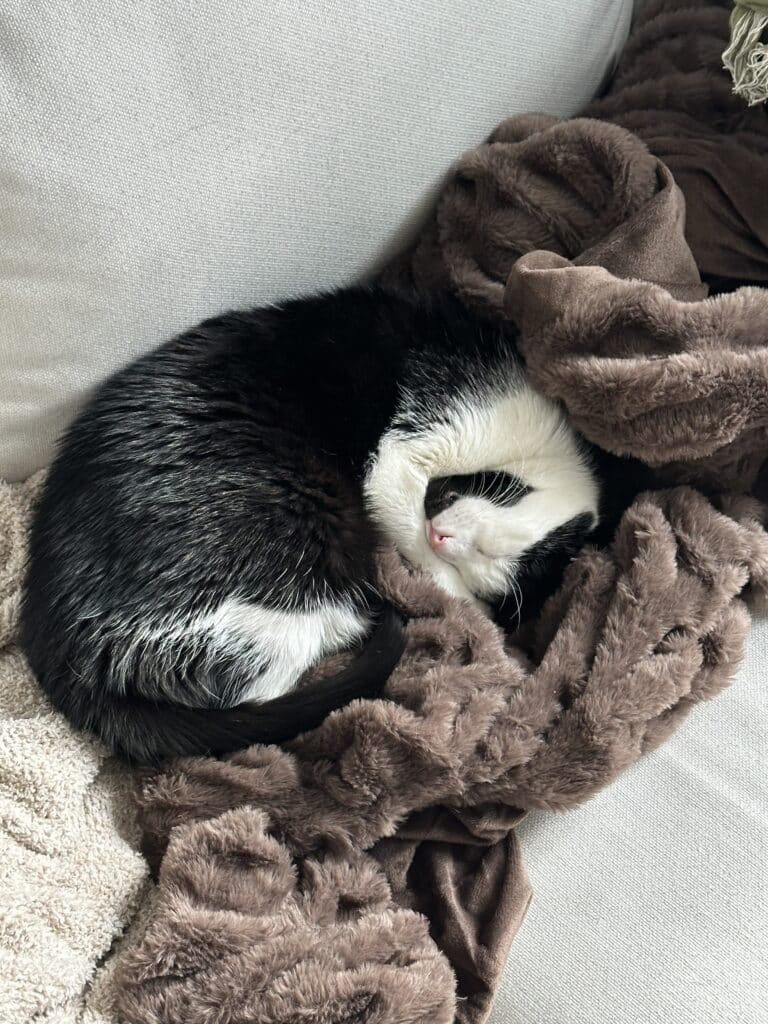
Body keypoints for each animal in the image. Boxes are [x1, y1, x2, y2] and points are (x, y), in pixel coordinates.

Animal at [20, 284, 602, 765]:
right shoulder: (411, 446)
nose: (445, 538)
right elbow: (405, 514)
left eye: (481, 562)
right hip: (303, 543)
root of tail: (61, 642)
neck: (531, 447)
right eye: (502, 501)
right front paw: (448, 592)